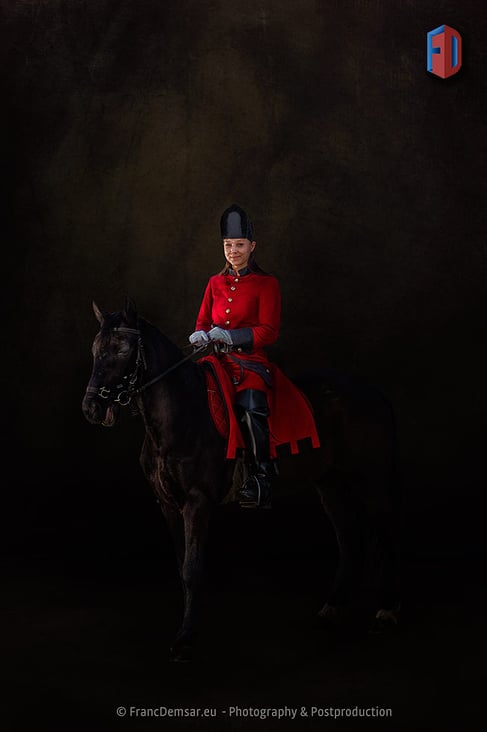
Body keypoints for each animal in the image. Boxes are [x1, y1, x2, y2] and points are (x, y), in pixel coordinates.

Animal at [83, 300, 400, 660]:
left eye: (122, 349)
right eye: (95, 349)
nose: (92, 407)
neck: (180, 413)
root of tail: (374, 392)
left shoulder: (198, 501)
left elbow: (192, 568)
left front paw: (185, 638)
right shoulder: (167, 504)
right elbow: (181, 565)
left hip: (373, 480)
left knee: (386, 533)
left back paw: (385, 612)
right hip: (330, 483)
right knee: (348, 538)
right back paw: (332, 607)